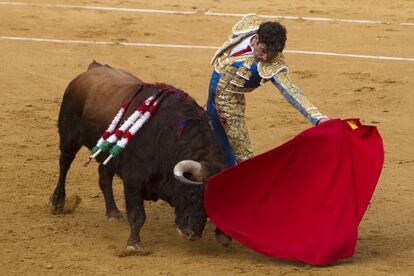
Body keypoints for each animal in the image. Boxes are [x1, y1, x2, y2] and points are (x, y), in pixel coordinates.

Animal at [49, 62, 226, 252]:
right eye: (192, 193)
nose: (192, 234)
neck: (168, 137)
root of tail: (93, 69)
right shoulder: (133, 180)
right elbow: (138, 215)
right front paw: (133, 244)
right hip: (69, 137)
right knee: (64, 164)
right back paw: (57, 202)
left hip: (108, 155)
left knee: (104, 177)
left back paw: (112, 213)